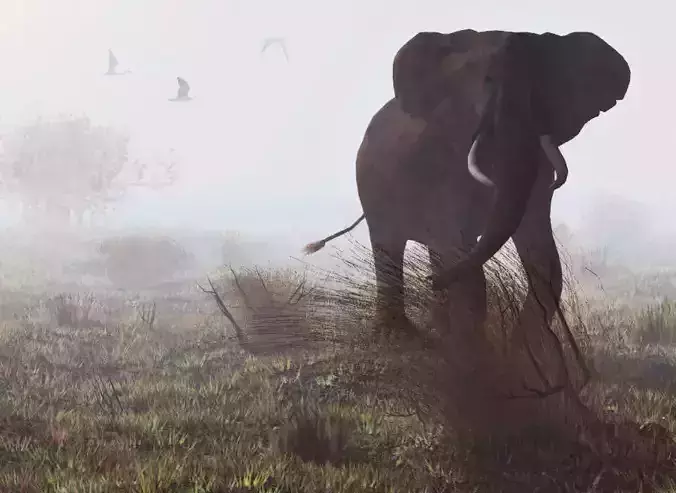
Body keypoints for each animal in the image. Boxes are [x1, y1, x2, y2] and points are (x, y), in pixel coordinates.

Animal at [303, 28, 631, 337]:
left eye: (542, 90)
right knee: (389, 246)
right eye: (486, 81)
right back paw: (398, 334)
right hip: (370, 183)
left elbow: (541, 254)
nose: (429, 282)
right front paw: (474, 348)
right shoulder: (442, 159)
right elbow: (460, 254)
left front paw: (518, 347)